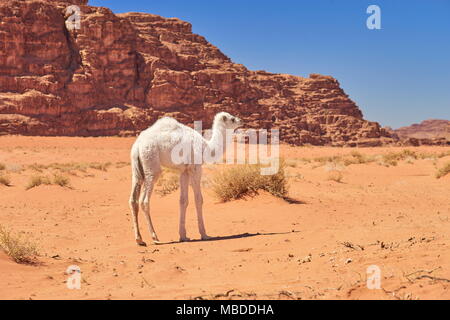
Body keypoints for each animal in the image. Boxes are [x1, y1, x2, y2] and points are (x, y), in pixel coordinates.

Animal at [128, 112, 243, 245]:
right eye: (232, 119)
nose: (241, 121)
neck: (206, 147)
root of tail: (137, 145)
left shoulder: (184, 171)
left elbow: (183, 200)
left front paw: (183, 236)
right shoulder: (195, 168)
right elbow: (199, 199)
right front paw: (204, 234)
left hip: (137, 169)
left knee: (133, 200)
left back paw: (139, 239)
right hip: (151, 164)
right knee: (144, 200)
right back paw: (154, 237)